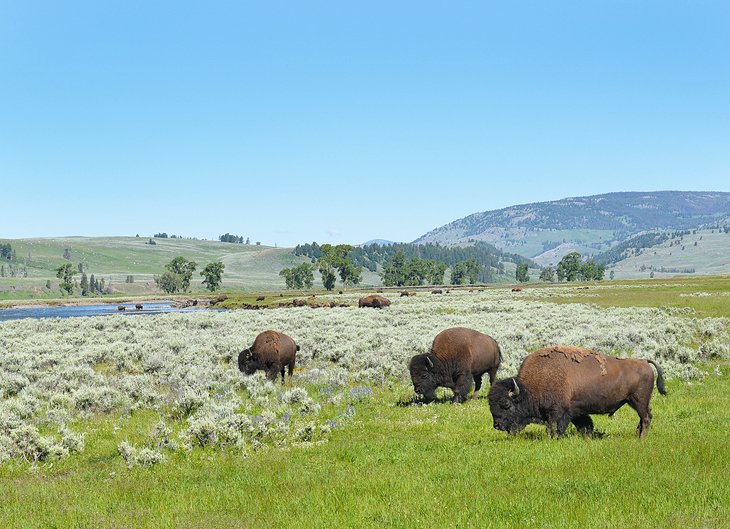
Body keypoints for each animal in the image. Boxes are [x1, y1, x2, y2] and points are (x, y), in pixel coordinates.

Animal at [486, 342, 664, 438]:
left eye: (506, 405)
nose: (497, 425)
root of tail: (644, 361)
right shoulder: (576, 411)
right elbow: (584, 425)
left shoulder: (557, 412)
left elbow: (554, 428)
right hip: (635, 402)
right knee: (644, 417)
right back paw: (638, 435)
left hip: (638, 401)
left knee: (646, 418)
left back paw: (641, 438)